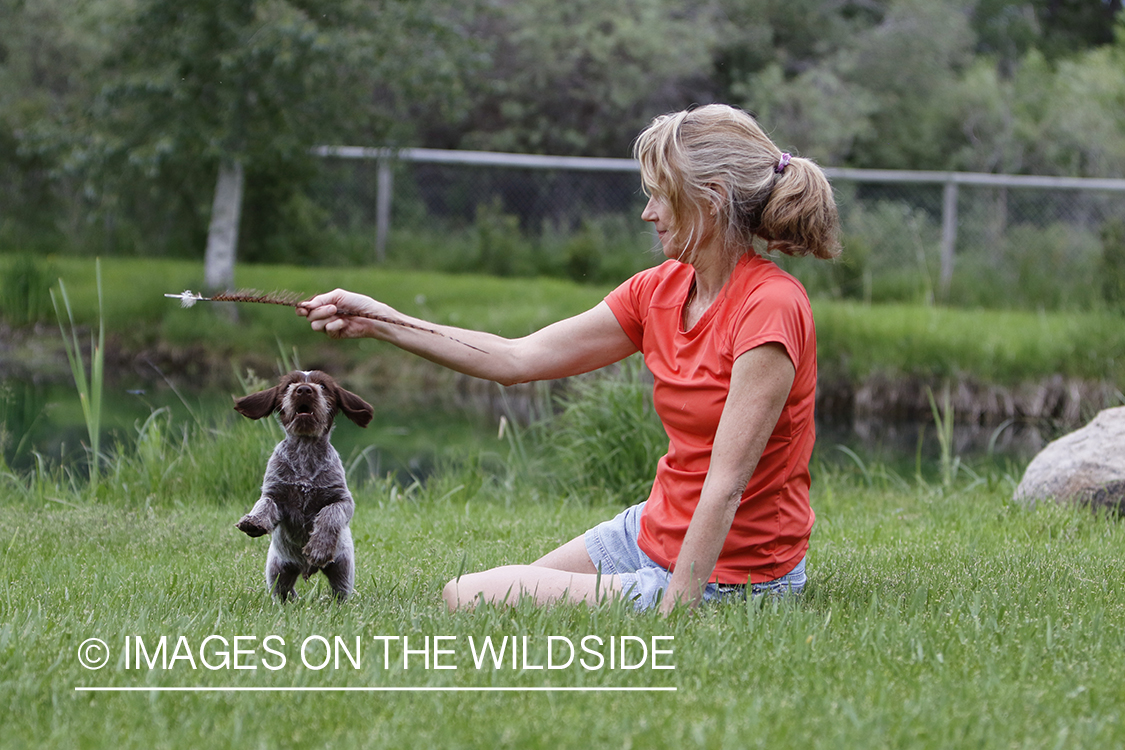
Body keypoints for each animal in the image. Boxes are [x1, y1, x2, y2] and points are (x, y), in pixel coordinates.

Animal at [230, 371, 375, 602]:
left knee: (340, 590)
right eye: (289, 384)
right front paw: (254, 521)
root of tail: (305, 569)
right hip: (277, 570)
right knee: (282, 591)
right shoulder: (276, 495)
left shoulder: (342, 500)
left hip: (342, 568)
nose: (304, 389)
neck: (305, 451)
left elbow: (329, 514)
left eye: (323, 386)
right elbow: (265, 504)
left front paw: (319, 547)